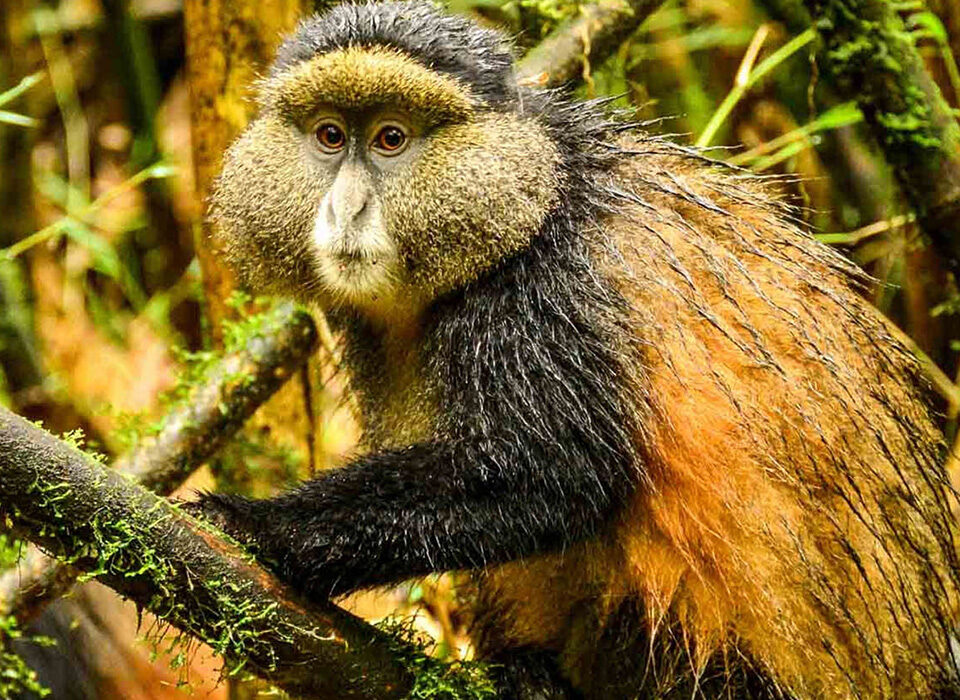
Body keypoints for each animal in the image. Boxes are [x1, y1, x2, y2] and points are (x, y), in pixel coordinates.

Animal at [188, 2, 960, 698]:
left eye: (390, 139)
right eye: (328, 136)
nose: (345, 210)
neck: (535, 193)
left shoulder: (543, 292)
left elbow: (556, 473)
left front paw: (255, 526)